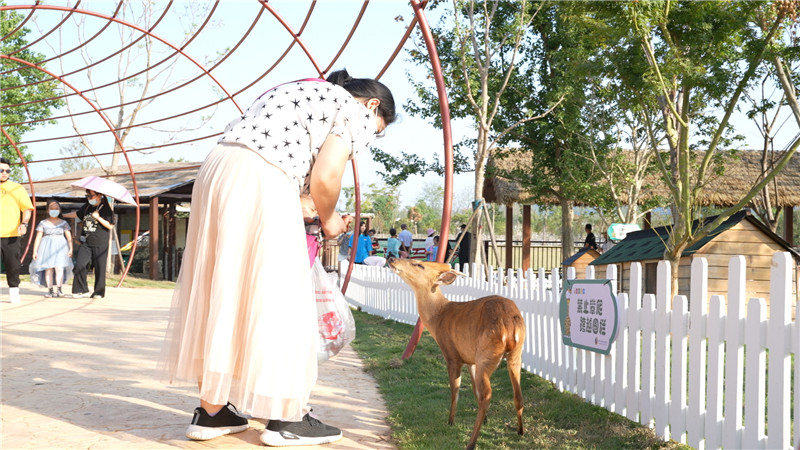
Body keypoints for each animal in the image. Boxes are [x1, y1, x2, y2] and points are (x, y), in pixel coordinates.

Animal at [386, 256, 524, 450]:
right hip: (515, 354)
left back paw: (471, 443)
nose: (391, 258)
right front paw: (486, 420)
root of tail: (510, 324)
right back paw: (520, 431)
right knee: (517, 394)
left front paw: (450, 421)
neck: (438, 317)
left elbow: (455, 391)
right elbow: (474, 390)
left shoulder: (452, 355)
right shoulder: (470, 359)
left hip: (487, 354)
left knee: (487, 394)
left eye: (419, 264)